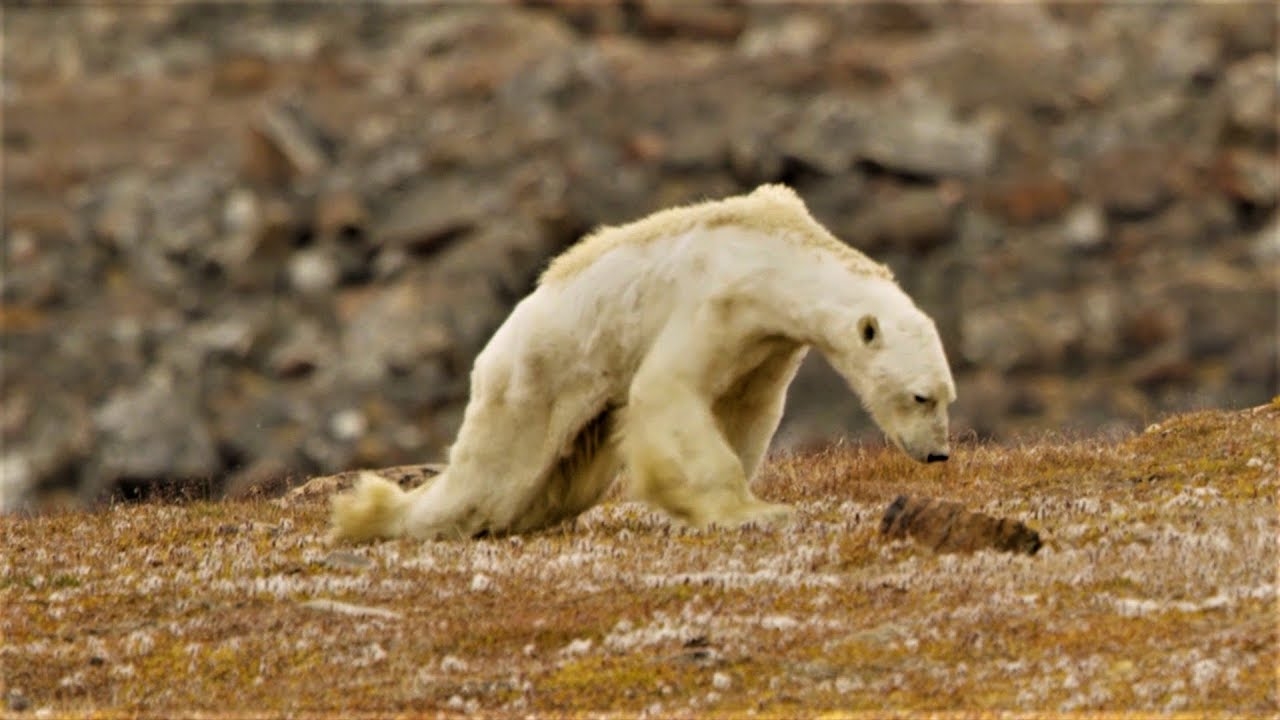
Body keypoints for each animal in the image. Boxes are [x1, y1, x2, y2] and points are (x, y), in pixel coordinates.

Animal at [335, 183, 957, 538]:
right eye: (920, 396)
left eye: (946, 396)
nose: (938, 453)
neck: (777, 255)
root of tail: (492, 350)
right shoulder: (714, 301)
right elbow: (668, 392)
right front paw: (750, 512)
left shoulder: (767, 342)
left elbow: (747, 409)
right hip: (535, 379)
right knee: (491, 481)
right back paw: (371, 516)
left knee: (557, 485)